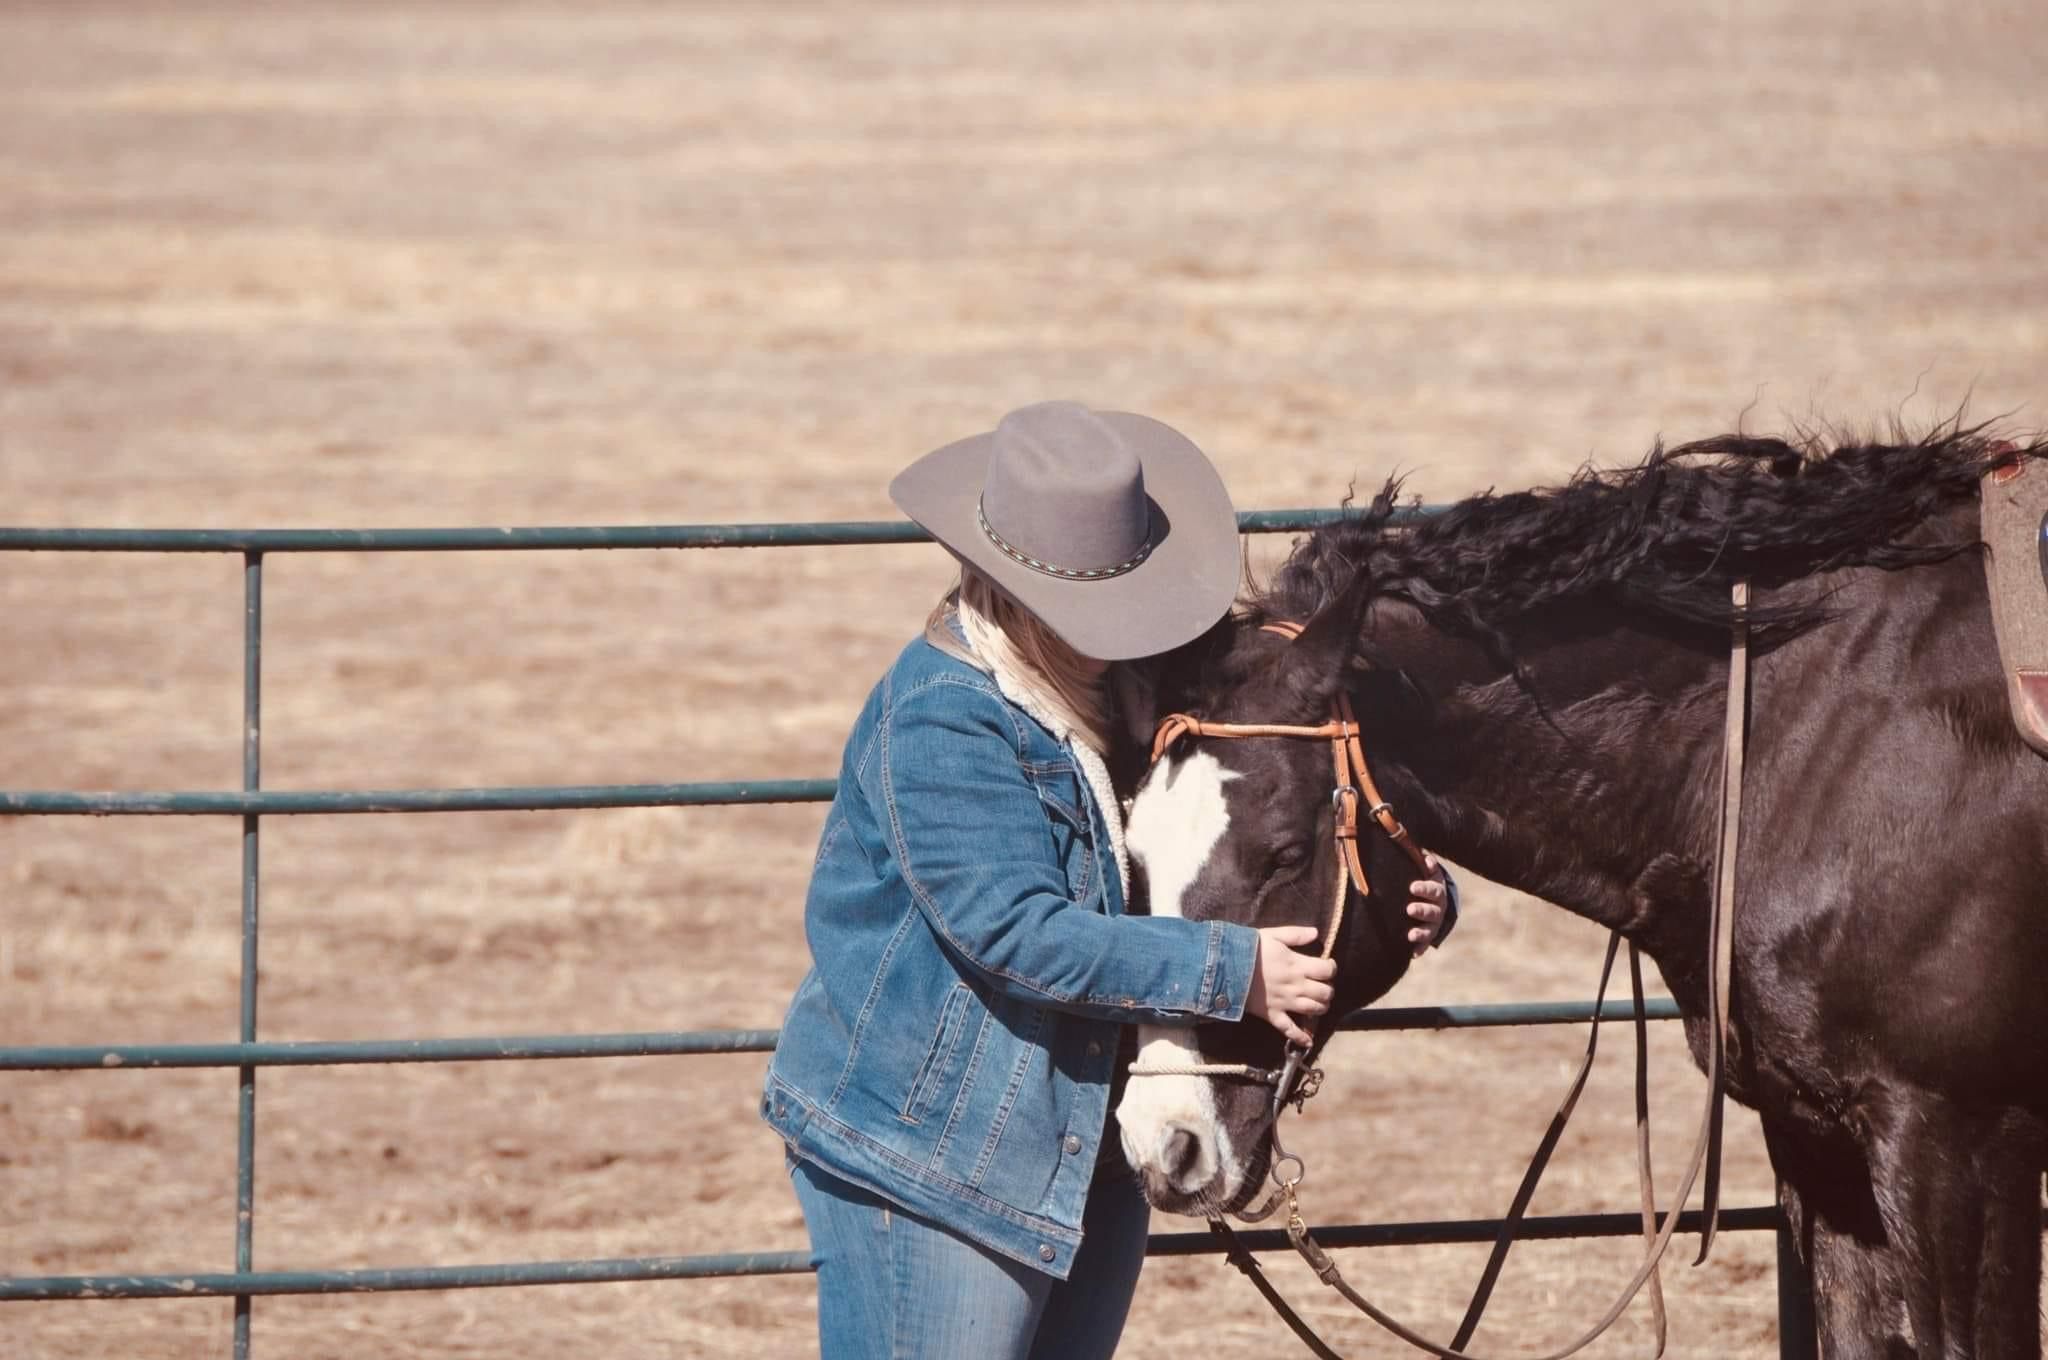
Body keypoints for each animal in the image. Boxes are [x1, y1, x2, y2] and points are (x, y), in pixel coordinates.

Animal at [1112, 424, 2048, 1359]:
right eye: (1138, 852)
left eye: (1284, 853)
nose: (1165, 1144)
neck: (1806, 734)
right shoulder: (1820, 1144)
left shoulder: (1959, 1142)